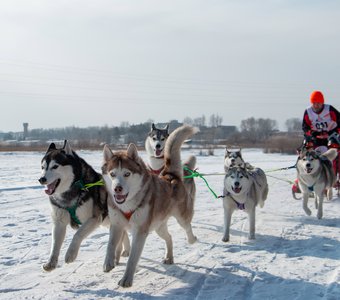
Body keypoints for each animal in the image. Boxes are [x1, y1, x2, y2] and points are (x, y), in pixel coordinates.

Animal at [38, 141, 130, 272]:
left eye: (55, 166)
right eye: (43, 167)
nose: (42, 179)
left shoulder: (94, 219)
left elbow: (78, 234)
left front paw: (70, 254)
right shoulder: (59, 222)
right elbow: (55, 244)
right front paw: (51, 262)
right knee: (123, 233)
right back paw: (123, 252)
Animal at [102, 125, 198, 288]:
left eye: (127, 174)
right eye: (112, 174)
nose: (117, 189)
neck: (128, 204)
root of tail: (170, 176)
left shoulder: (140, 232)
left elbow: (133, 258)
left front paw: (126, 279)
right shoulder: (116, 225)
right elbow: (110, 245)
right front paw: (108, 263)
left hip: (181, 217)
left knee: (187, 227)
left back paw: (192, 239)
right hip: (158, 227)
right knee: (169, 237)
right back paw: (169, 257)